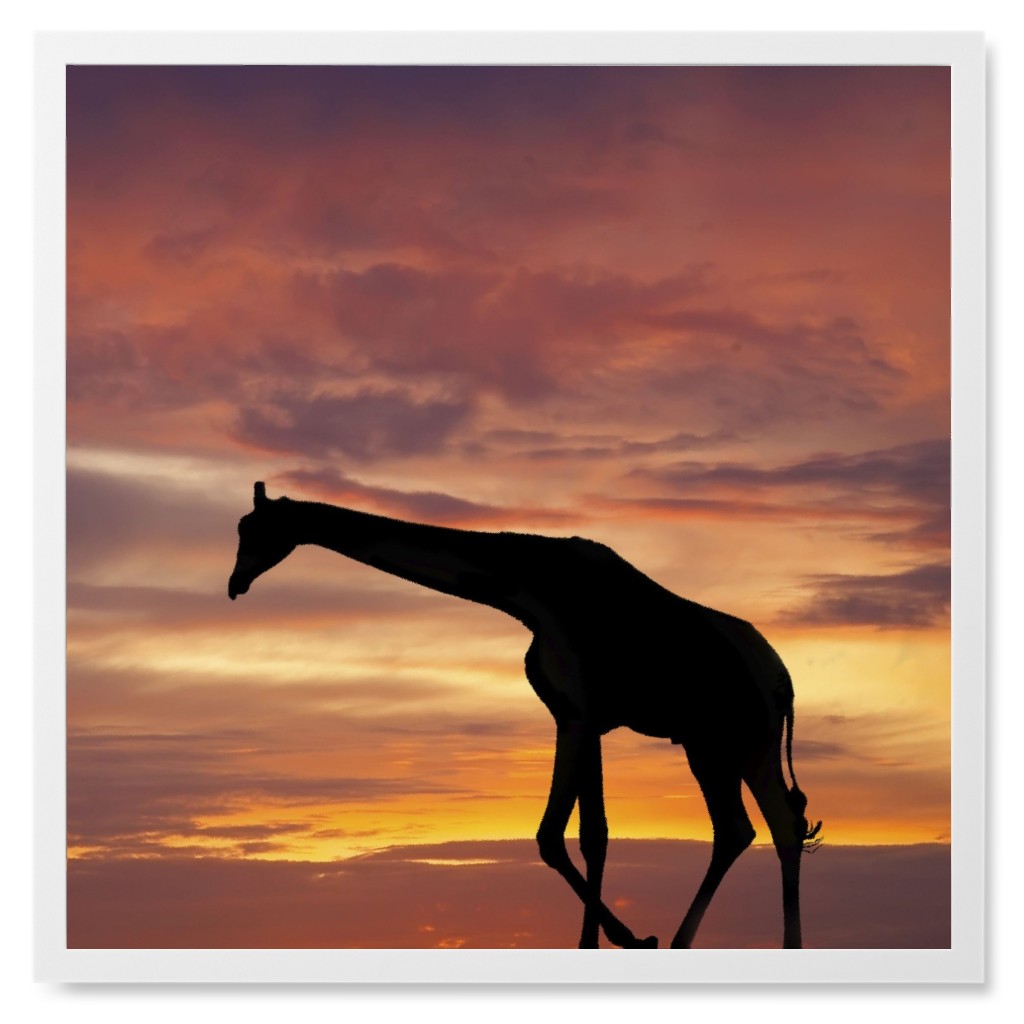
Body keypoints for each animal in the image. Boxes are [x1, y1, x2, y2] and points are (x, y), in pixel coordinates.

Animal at [228, 482, 821, 949]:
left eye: (254, 530)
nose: (235, 585)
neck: (526, 592)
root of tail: (784, 680)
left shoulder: (580, 713)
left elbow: (553, 836)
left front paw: (625, 940)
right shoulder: (578, 715)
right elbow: (593, 833)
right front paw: (604, 944)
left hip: (740, 740)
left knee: (766, 826)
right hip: (715, 743)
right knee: (753, 827)